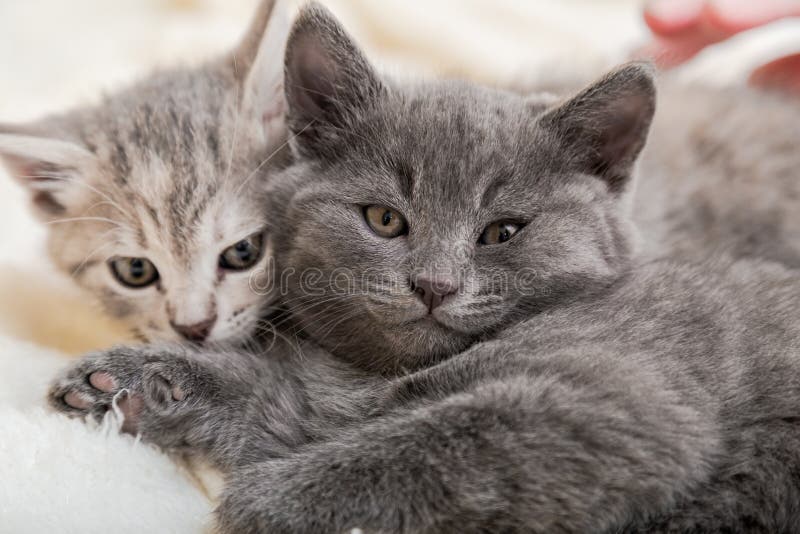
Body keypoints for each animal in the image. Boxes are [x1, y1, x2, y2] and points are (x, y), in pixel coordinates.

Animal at [48, 5, 800, 534]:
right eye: (384, 219)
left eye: (502, 232)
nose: (435, 285)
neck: (381, 379)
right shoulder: (319, 403)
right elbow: (267, 401)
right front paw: (124, 382)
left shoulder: (614, 396)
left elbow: (436, 445)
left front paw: (259, 503)